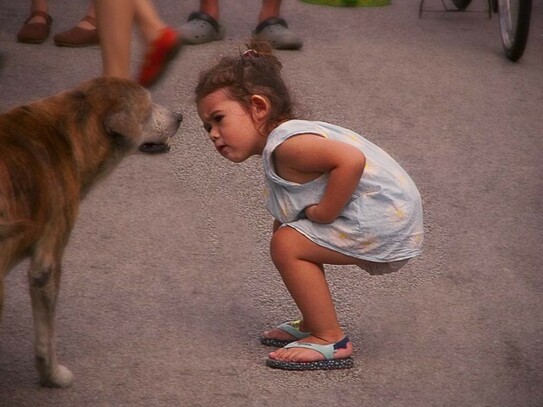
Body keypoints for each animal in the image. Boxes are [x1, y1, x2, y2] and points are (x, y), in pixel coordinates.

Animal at [0, 77, 183, 388]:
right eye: (147, 108)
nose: (180, 116)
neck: (71, 131)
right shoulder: (47, 263)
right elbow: (46, 337)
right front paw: (52, 375)